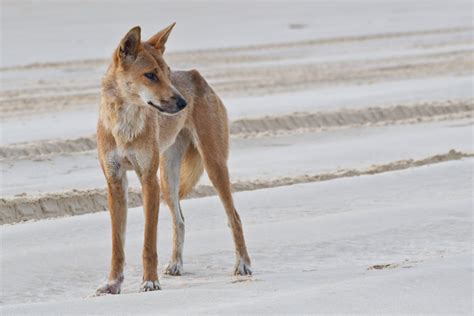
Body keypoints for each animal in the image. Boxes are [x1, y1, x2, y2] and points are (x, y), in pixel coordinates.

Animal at [96, 24, 252, 294]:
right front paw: (113, 284)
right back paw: (176, 264)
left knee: (234, 217)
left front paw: (150, 280)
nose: (183, 103)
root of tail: (196, 76)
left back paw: (242, 264)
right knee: (180, 220)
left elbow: (149, 242)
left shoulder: (148, 181)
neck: (125, 126)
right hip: (168, 181)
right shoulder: (115, 183)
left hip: (213, 166)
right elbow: (118, 247)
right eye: (150, 75)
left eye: (167, 74)